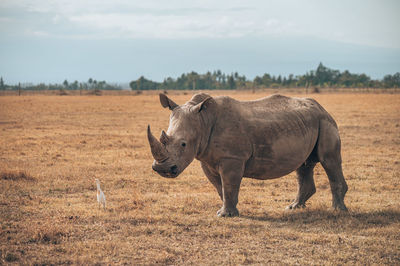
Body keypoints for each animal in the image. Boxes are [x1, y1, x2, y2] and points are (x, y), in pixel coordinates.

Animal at [148, 93, 348, 216]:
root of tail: (322, 108)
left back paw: (338, 210)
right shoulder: (206, 158)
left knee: (329, 161)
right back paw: (293, 208)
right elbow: (219, 187)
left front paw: (226, 215)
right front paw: (225, 211)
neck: (203, 120)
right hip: (310, 122)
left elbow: (229, 185)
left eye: (183, 144)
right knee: (304, 165)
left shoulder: (232, 158)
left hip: (326, 122)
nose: (162, 169)